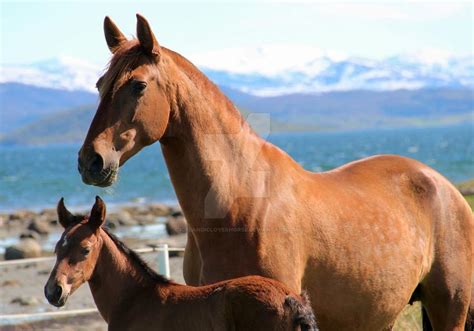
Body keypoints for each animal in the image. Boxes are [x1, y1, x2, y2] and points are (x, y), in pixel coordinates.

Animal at [78, 14, 474, 330]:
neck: (238, 204)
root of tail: (445, 188)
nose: (90, 161)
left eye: (138, 85)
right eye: (99, 85)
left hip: (448, 307)